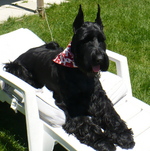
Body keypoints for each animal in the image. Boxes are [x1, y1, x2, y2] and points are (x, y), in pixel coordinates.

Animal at [4, 5, 135, 151]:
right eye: (85, 40)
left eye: (102, 39)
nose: (100, 59)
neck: (80, 71)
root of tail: (24, 53)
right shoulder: (71, 106)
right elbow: (85, 123)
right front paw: (104, 141)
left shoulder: (99, 97)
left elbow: (110, 114)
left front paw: (123, 134)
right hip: (15, 68)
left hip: (53, 44)